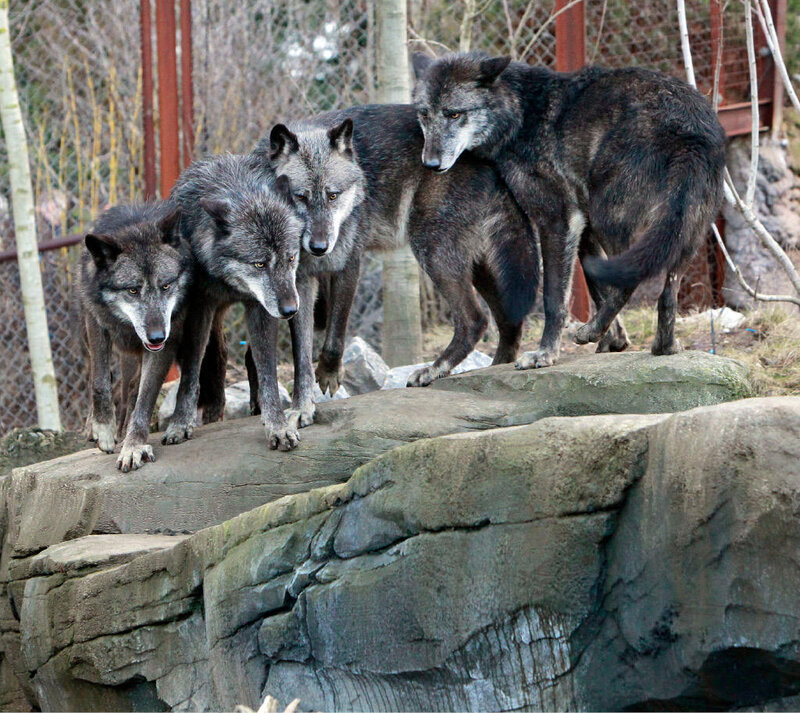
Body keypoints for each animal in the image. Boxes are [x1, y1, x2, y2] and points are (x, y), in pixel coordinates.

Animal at [78, 201, 189, 471]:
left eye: (166, 286)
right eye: (132, 290)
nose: (157, 336)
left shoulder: (167, 342)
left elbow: (144, 399)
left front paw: (133, 446)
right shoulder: (96, 323)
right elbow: (99, 382)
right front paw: (103, 430)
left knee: (129, 389)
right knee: (106, 379)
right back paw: (93, 426)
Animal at [165, 153, 304, 451]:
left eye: (290, 257)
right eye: (260, 264)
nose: (290, 310)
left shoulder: (259, 308)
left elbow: (267, 372)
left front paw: (277, 426)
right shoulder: (199, 307)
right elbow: (191, 372)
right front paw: (180, 423)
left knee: (250, 359)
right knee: (215, 367)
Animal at [246, 103, 539, 414]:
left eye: (333, 196)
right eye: (300, 197)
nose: (319, 247)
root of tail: (488, 159)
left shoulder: (348, 263)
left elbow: (336, 331)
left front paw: (328, 374)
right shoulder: (291, 283)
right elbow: (280, 351)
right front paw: (283, 405)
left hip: (432, 251)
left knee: (475, 319)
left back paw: (434, 370)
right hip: (476, 267)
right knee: (508, 319)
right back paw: (494, 369)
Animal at [412, 51, 726, 366]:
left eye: (454, 114)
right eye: (424, 114)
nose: (430, 164)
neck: (520, 117)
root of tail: (692, 128)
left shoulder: (558, 220)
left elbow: (555, 299)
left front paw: (546, 353)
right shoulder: (583, 228)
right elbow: (598, 286)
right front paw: (612, 341)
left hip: (611, 219)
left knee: (632, 278)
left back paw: (597, 333)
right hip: (685, 233)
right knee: (667, 293)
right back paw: (664, 346)